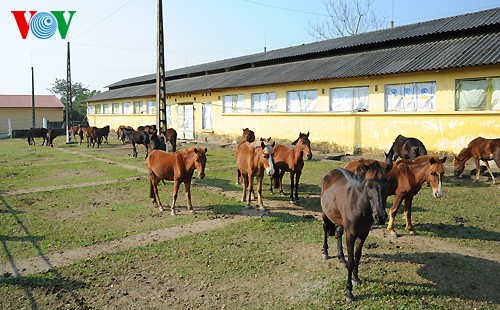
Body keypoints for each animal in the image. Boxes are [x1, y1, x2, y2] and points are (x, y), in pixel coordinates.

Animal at [322, 161, 392, 302]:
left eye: (387, 185)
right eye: (368, 186)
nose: (380, 216)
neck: (358, 203)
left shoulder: (364, 233)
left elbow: (357, 256)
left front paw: (356, 278)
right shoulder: (351, 234)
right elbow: (351, 262)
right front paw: (349, 292)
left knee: (338, 234)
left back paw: (341, 258)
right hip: (325, 215)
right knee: (326, 229)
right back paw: (325, 252)